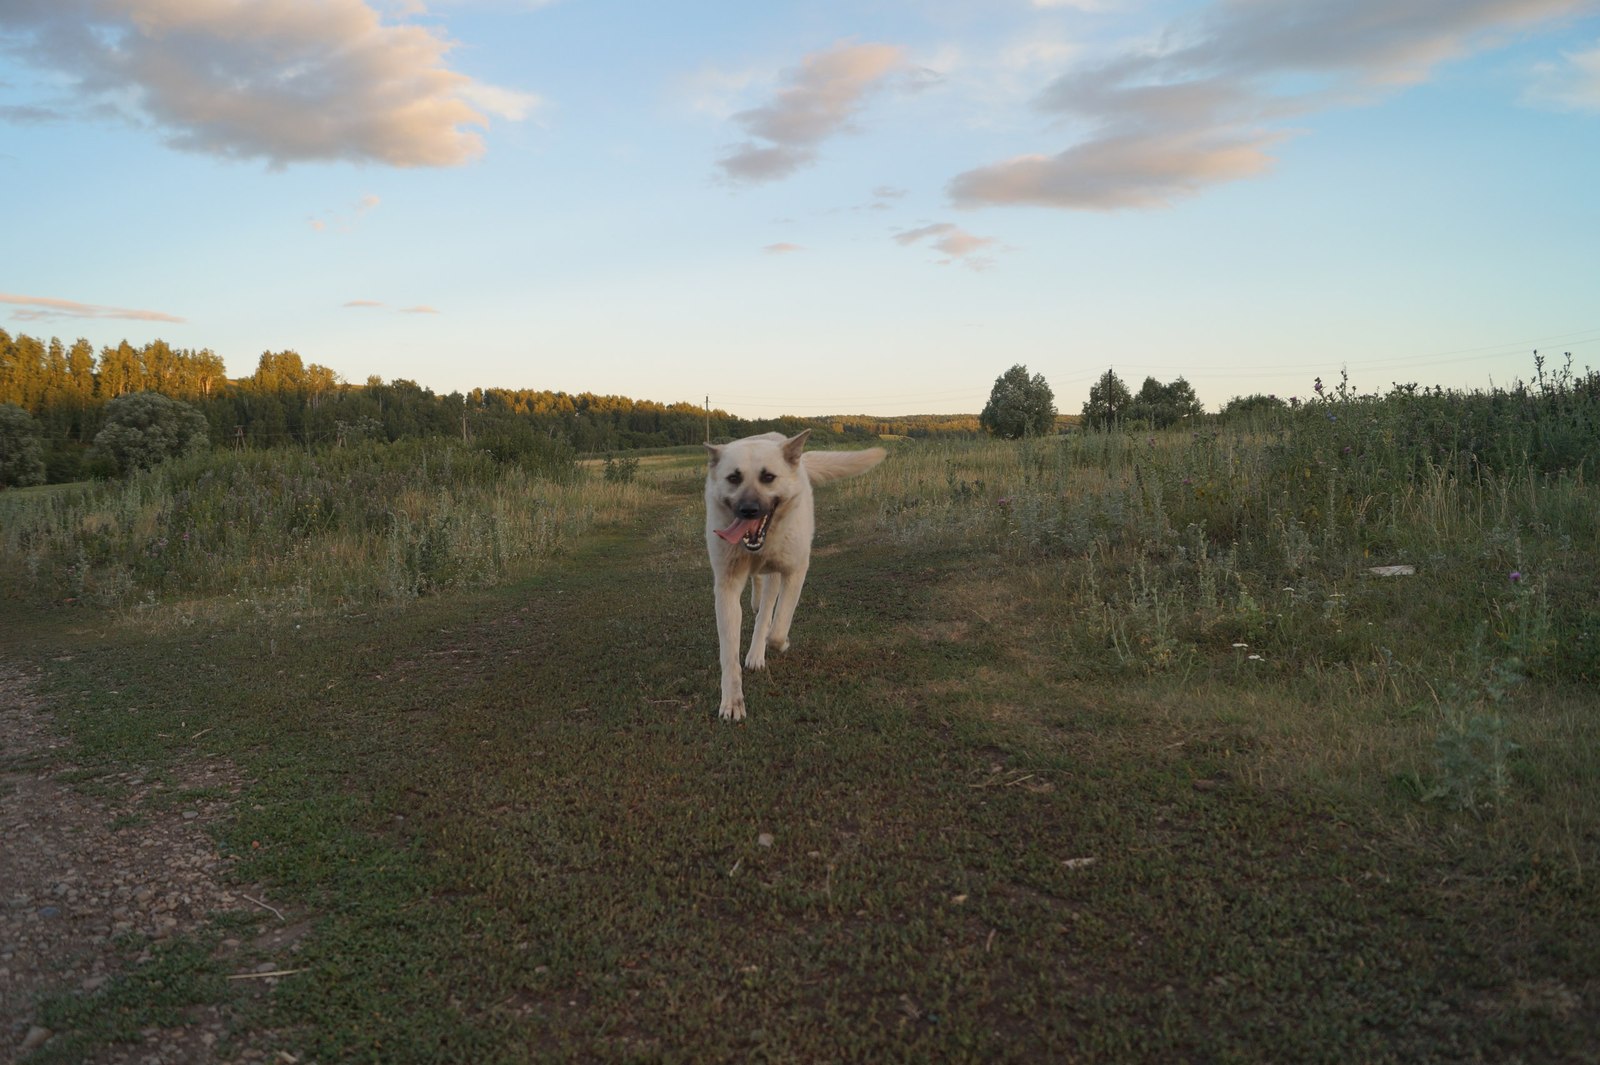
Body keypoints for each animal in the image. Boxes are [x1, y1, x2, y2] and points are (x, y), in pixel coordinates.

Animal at [704, 428, 889, 716]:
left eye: (768, 477)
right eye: (733, 478)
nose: (748, 510)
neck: (765, 541)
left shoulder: (795, 571)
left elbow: (778, 628)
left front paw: (780, 643)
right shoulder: (726, 586)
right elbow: (729, 654)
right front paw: (732, 701)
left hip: (776, 575)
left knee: (766, 611)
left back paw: (757, 649)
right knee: (759, 591)